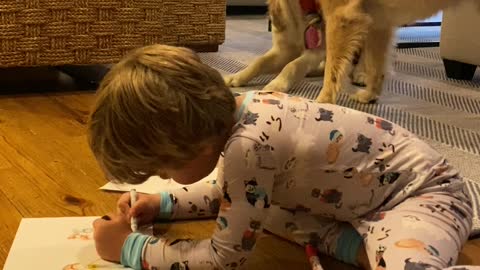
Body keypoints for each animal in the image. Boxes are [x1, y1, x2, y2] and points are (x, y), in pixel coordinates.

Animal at [316, 0, 480, 103]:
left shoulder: (341, 16)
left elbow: (331, 72)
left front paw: (323, 102)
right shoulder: (378, 24)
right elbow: (376, 68)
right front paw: (370, 95)